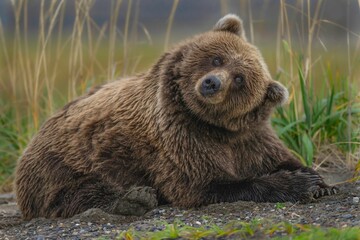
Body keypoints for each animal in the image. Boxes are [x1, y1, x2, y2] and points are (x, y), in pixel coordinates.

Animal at [15, 13, 336, 219]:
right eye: (217, 58)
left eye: (239, 78)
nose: (211, 83)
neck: (213, 125)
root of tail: (36, 134)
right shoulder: (178, 134)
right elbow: (203, 183)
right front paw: (299, 184)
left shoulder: (248, 137)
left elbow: (274, 155)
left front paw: (318, 180)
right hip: (64, 162)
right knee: (76, 193)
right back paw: (134, 199)